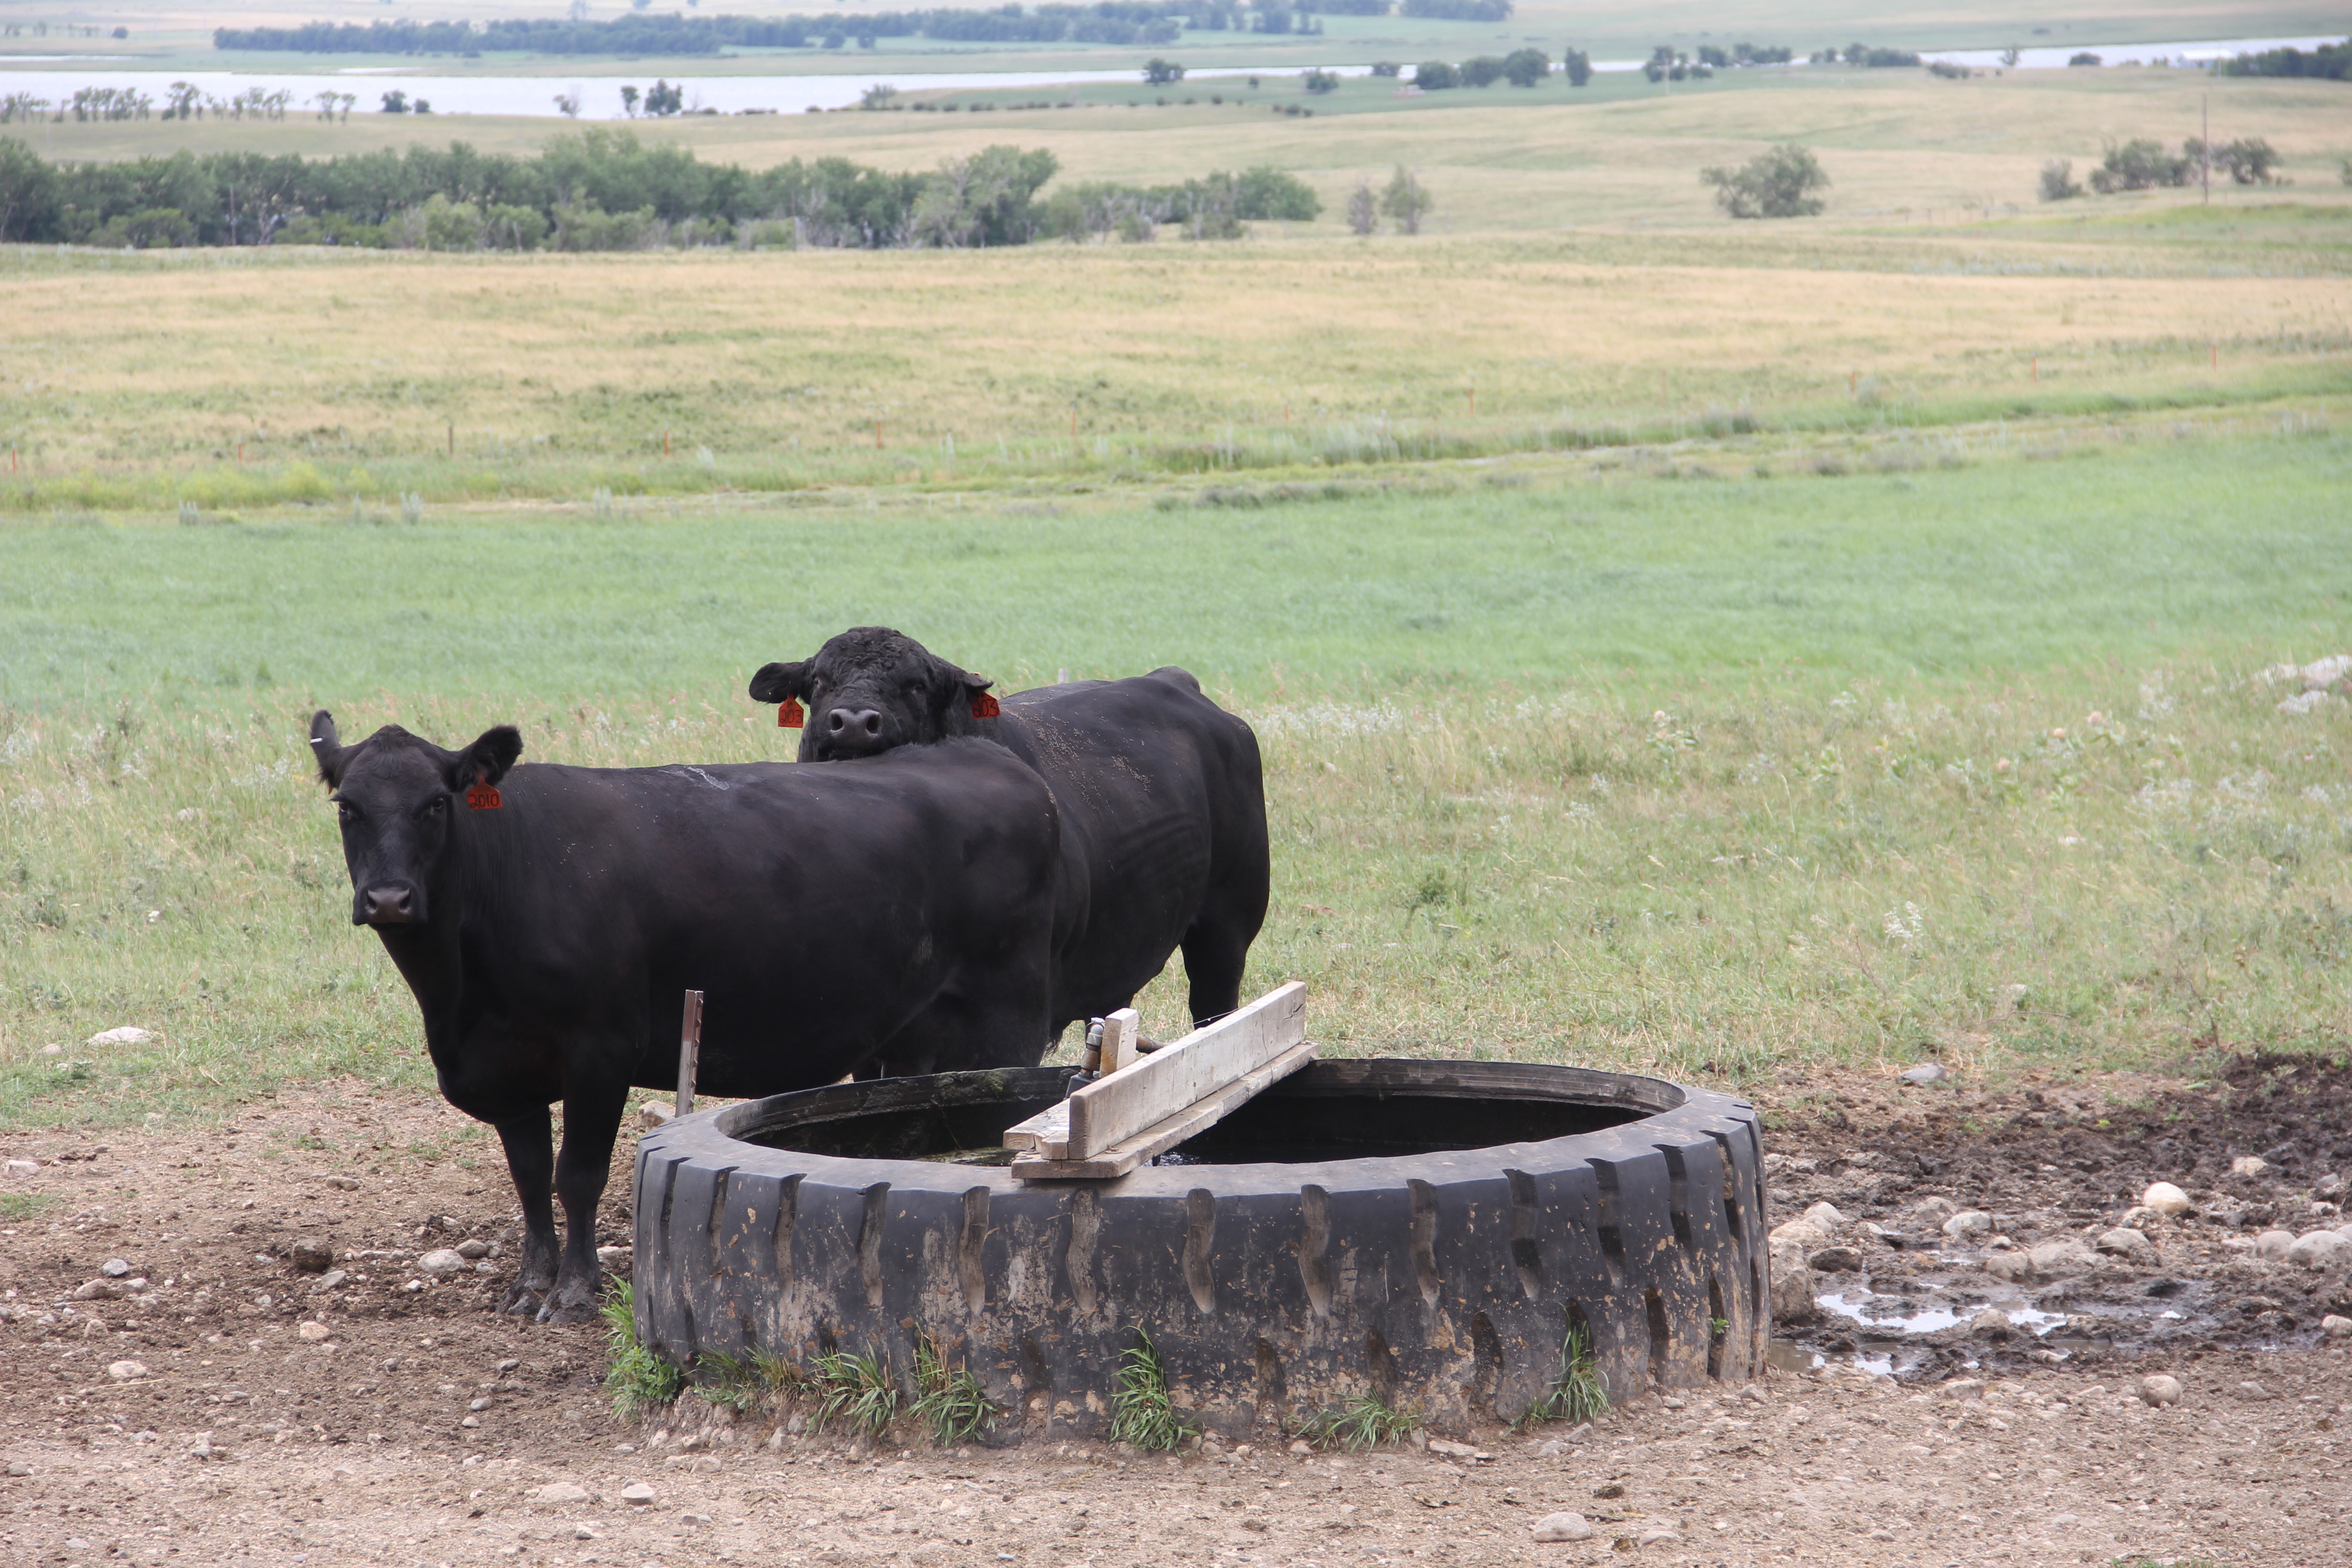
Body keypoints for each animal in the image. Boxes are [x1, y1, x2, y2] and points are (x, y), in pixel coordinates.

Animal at [310, 710, 1058, 1326]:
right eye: (348, 807)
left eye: (437, 804)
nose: (389, 898)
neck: (460, 997)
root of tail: (989, 759)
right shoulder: (506, 1072)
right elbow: (529, 1181)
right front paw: (530, 1284)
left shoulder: (600, 1048)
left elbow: (576, 1176)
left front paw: (575, 1292)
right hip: (910, 1037)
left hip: (1006, 1016)